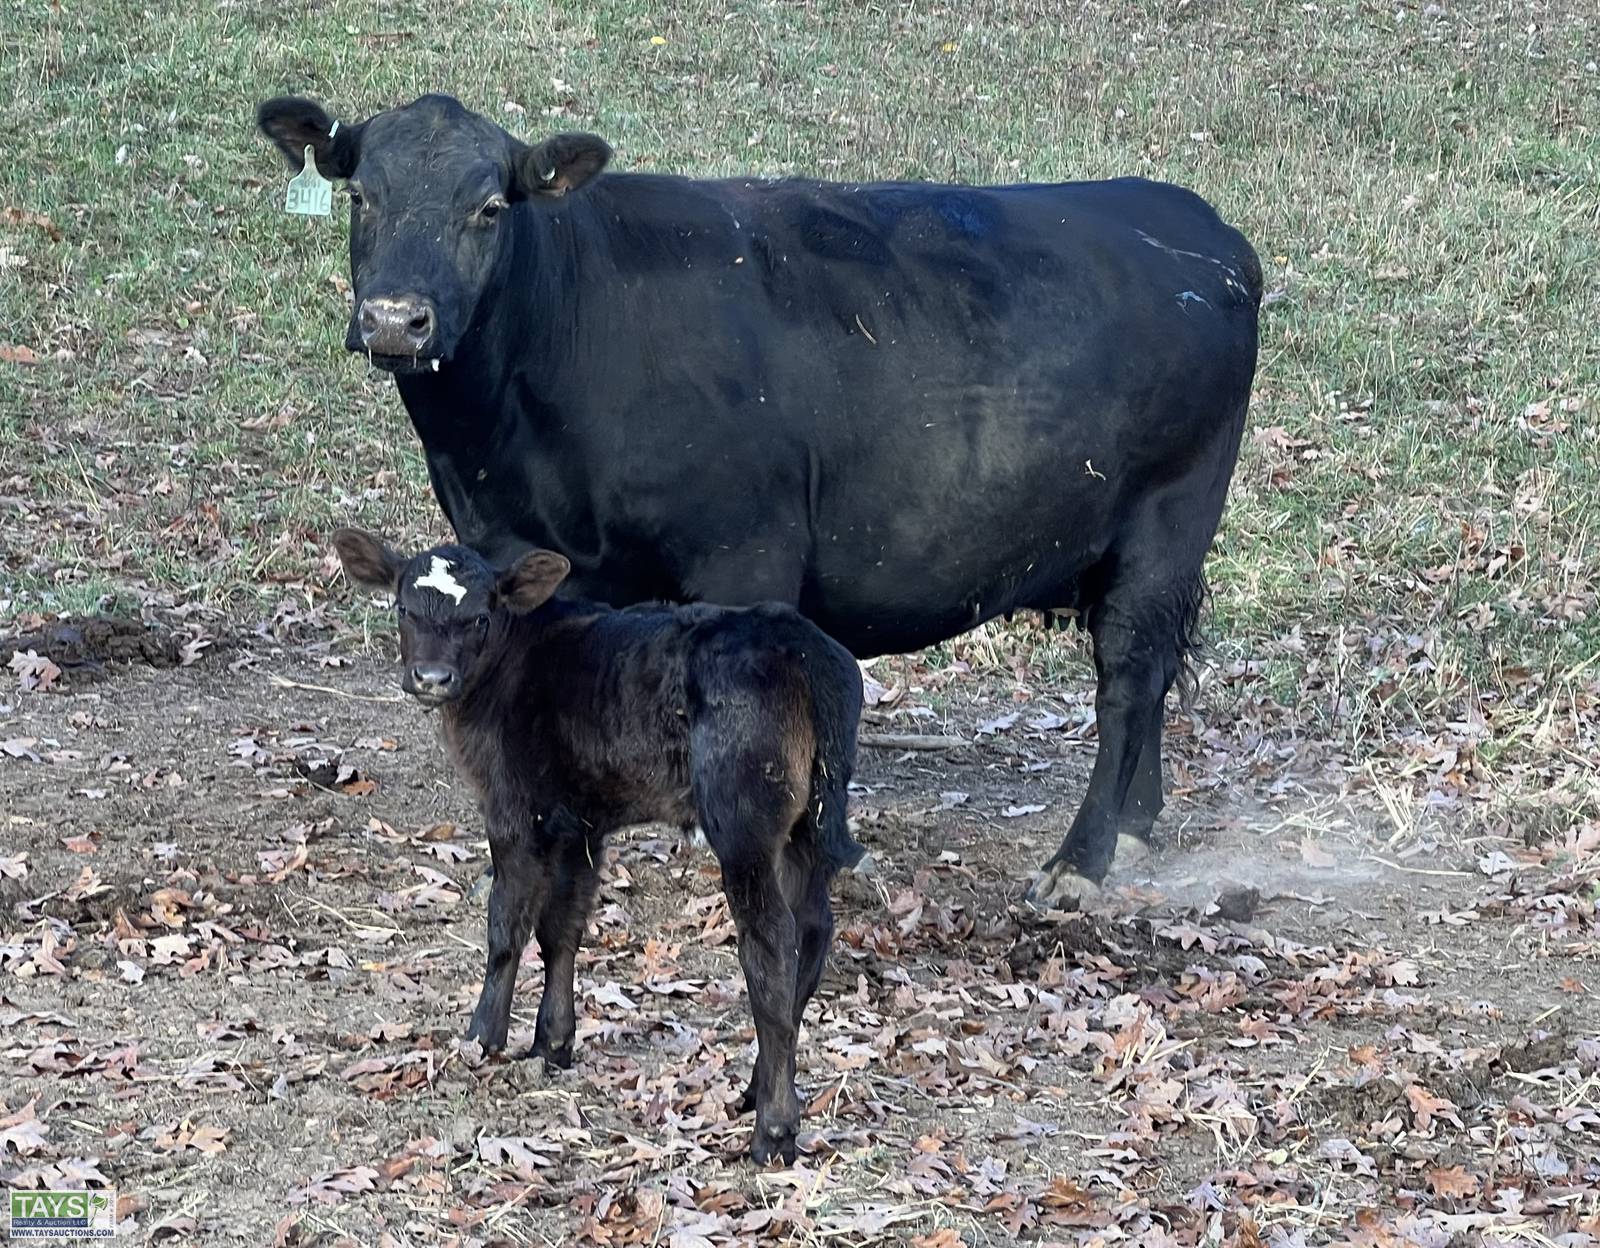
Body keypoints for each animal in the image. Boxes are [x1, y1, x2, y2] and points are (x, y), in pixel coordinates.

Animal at [258, 93, 1262, 908]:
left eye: (490, 206)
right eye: (362, 196)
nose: (396, 320)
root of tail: (1194, 222)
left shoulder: (748, 551)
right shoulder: (516, 546)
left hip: (1168, 520)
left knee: (1128, 677)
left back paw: (1082, 861)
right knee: (1151, 671)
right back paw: (1136, 824)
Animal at [331, 527, 864, 1165]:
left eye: (481, 616)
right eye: (403, 608)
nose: (432, 677)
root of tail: (803, 649)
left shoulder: (516, 810)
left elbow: (507, 926)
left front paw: (482, 1039)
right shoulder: (580, 822)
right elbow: (562, 927)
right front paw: (551, 1043)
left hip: (743, 821)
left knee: (771, 946)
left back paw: (774, 1131)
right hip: (807, 825)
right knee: (813, 930)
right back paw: (756, 1090)